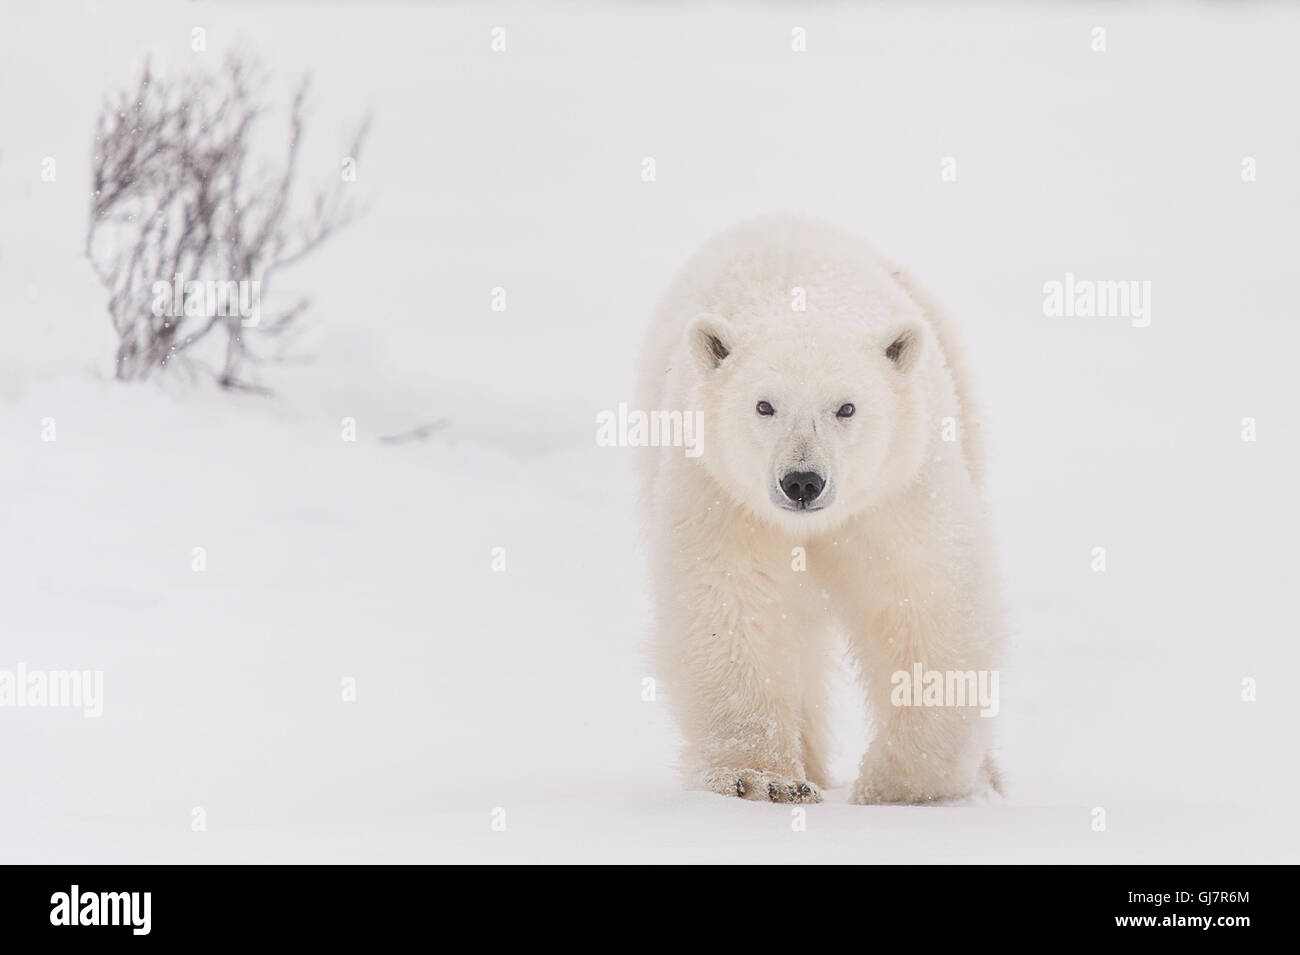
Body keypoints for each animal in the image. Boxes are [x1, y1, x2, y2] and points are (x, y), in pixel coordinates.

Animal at [635, 215, 1003, 805]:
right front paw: (760, 778)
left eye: (846, 407)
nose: (802, 481)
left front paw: (895, 784)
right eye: (764, 405)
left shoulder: (898, 490)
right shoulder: (721, 494)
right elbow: (730, 606)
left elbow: (929, 604)